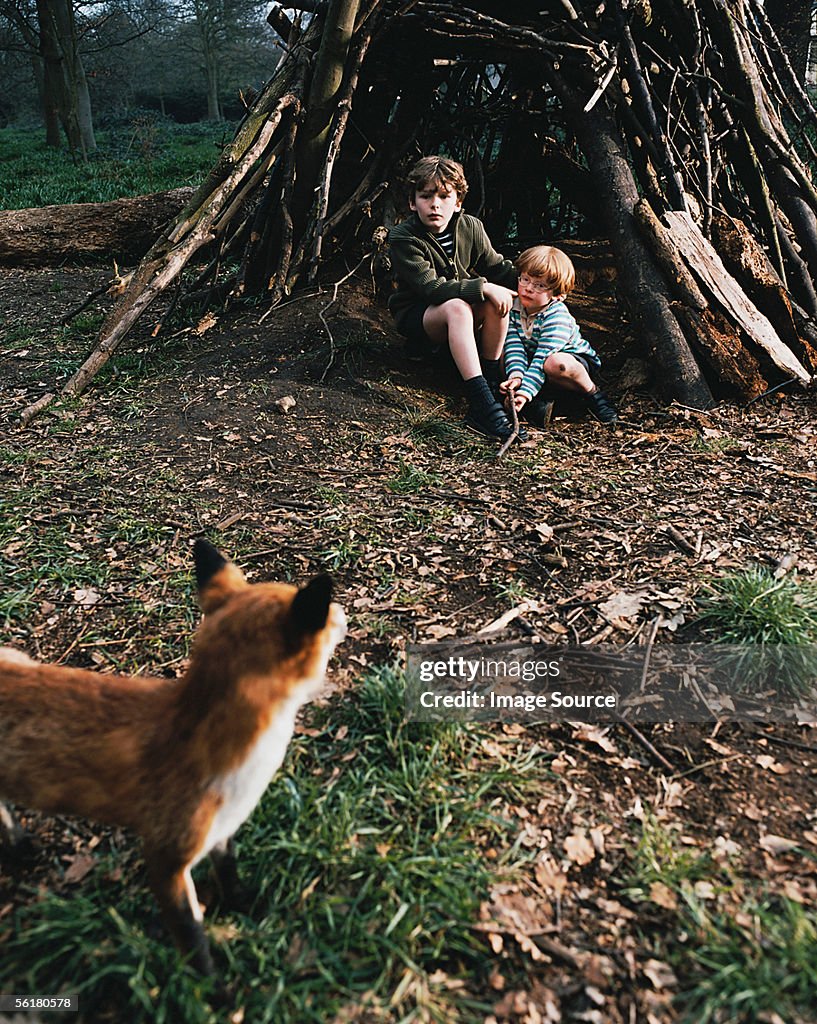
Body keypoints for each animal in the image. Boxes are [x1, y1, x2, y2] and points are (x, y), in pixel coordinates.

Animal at [0, 540, 348, 970]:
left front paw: (245, 906)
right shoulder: (165, 860)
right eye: (327, 617)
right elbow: (193, 937)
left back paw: (18, 845)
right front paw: (211, 984)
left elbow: (229, 875)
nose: (343, 613)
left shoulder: (221, 831)